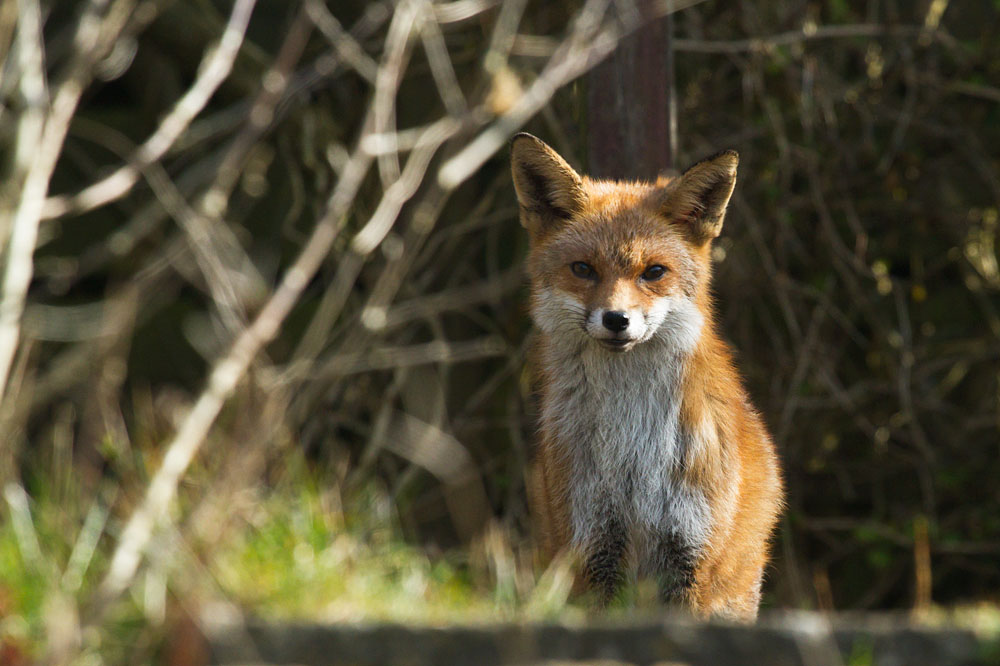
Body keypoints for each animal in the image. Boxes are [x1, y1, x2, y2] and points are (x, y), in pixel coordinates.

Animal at [511, 133, 783, 621]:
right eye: (583, 269)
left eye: (653, 272)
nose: (616, 319)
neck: (632, 452)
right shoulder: (593, 546)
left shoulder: (690, 553)